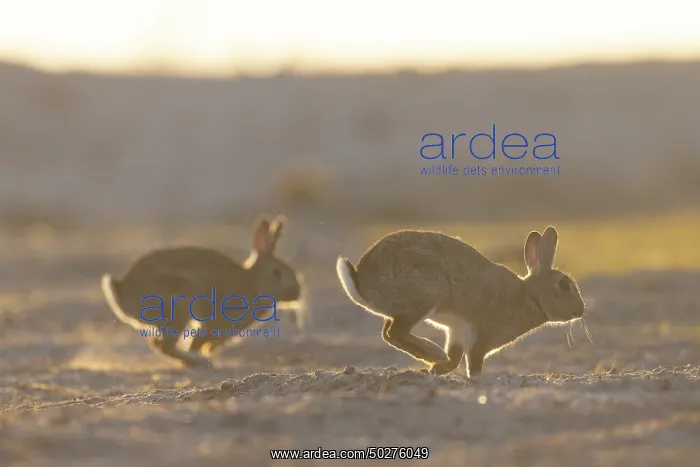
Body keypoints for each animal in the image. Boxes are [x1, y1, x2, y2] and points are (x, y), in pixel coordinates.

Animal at [101, 215, 304, 368]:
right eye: (277, 273)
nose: (297, 294)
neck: (253, 282)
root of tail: (123, 292)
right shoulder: (212, 322)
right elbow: (197, 341)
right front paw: (200, 355)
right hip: (178, 308)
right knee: (162, 345)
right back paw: (197, 362)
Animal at [336, 225, 584, 377]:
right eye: (564, 285)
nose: (581, 310)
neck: (529, 296)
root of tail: (362, 284)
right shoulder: (482, 336)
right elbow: (473, 362)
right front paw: (469, 376)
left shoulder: (456, 331)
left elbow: (455, 359)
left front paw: (436, 370)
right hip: (426, 295)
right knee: (394, 332)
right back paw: (433, 352)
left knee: (388, 332)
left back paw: (433, 356)